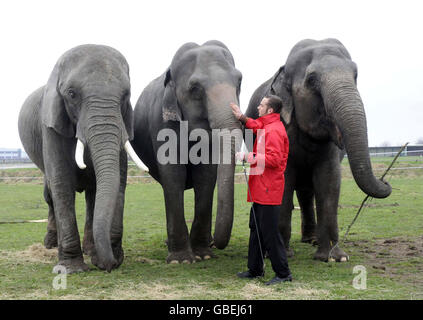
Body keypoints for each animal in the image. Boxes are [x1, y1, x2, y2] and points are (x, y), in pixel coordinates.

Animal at [19, 43, 150, 272]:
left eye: (126, 95)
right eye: (71, 94)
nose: (110, 265)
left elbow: (119, 181)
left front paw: (104, 259)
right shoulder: (51, 125)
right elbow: (61, 183)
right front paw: (71, 269)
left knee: (91, 195)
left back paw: (88, 249)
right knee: (50, 194)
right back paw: (51, 245)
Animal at [134, 40, 243, 264]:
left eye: (239, 81)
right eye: (195, 88)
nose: (217, 242)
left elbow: (206, 175)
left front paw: (204, 255)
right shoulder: (161, 120)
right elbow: (173, 174)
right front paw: (181, 260)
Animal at [247, 38, 392, 262]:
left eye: (356, 75)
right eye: (312, 80)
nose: (386, 181)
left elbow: (329, 179)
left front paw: (335, 257)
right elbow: (284, 179)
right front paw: (281, 254)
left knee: (307, 192)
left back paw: (311, 240)